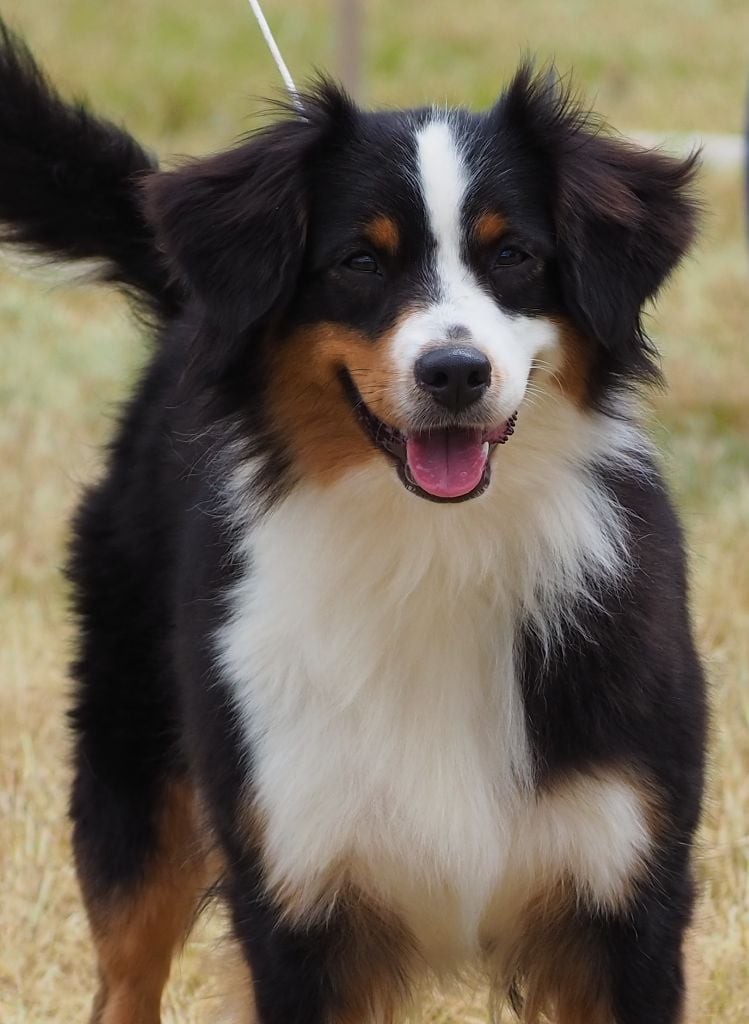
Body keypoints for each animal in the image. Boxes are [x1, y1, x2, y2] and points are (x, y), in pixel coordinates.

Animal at [1, 22, 709, 1024]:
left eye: (513, 257)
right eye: (359, 262)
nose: (454, 372)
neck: (434, 552)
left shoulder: (625, 895)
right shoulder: (299, 898)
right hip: (135, 770)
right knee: (127, 976)